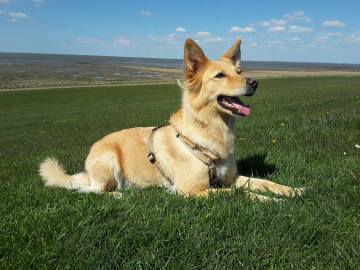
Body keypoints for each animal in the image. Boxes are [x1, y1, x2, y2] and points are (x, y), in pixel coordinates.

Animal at [39, 37, 304, 200]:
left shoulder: (231, 178)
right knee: (92, 191)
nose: (254, 81)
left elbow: (264, 182)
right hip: (108, 161)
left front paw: (294, 191)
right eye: (220, 76)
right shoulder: (192, 191)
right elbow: (241, 194)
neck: (212, 132)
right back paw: (117, 194)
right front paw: (272, 201)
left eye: (239, 71)